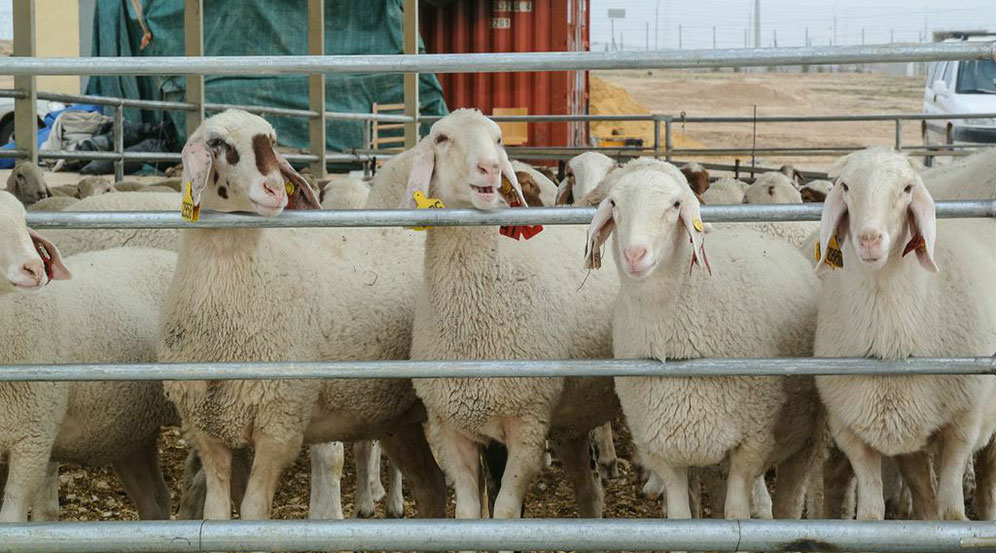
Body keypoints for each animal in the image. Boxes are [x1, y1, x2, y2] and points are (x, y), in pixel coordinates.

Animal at [160, 109, 445, 522]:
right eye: (217, 143)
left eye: (272, 141)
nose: (275, 190)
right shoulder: (206, 429)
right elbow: (215, 515)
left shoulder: (279, 426)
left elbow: (253, 512)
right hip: (396, 416)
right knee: (431, 485)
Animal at [402, 108, 619, 524]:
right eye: (441, 138)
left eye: (499, 139)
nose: (489, 167)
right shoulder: (451, 429)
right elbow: (468, 512)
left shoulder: (527, 426)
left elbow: (504, 514)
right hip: (572, 418)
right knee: (590, 491)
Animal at [583, 158, 823, 520]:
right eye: (613, 203)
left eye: (675, 204)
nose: (635, 254)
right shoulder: (664, 449)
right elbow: (683, 517)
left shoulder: (751, 444)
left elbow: (736, 515)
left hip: (804, 439)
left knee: (790, 498)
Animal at [812, 149, 996, 521]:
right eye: (846, 186)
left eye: (908, 188)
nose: (869, 239)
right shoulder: (855, 430)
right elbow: (871, 514)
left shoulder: (963, 425)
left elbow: (952, 513)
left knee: (988, 471)